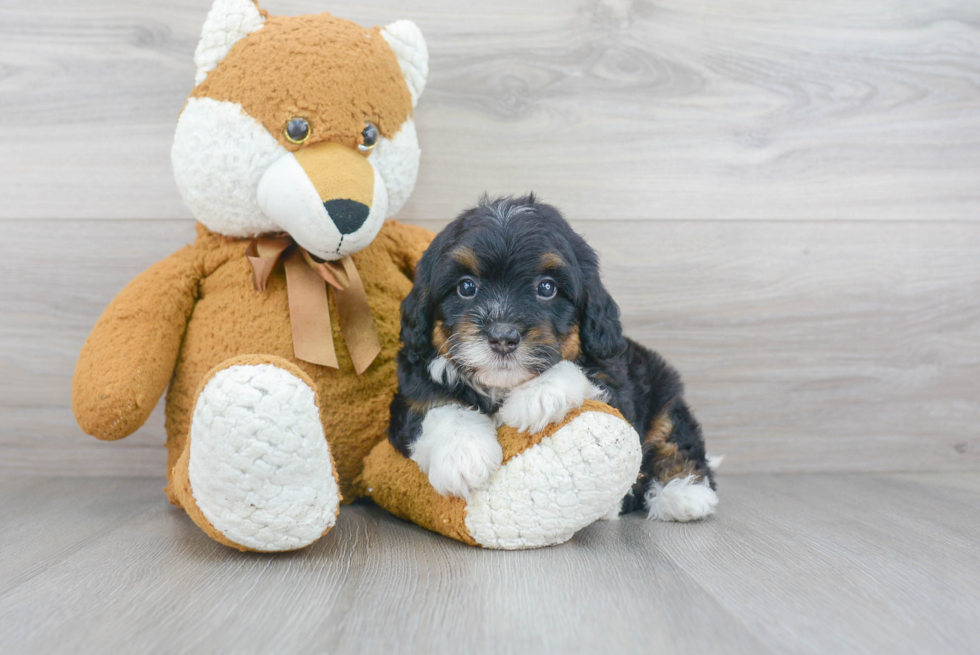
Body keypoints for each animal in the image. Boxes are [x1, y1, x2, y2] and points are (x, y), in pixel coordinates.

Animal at [390, 195, 720, 524]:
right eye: (466, 287)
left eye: (547, 288)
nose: (503, 336)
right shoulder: (409, 391)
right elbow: (433, 403)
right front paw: (462, 453)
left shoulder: (616, 384)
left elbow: (585, 374)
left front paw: (539, 395)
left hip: (663, 390)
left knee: (675, 437)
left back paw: (684, 492)